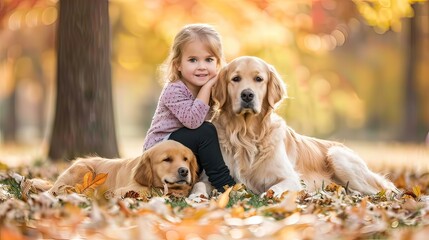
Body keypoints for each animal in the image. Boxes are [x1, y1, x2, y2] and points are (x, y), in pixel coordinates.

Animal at [49, 140, 198, 198]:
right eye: (167, 159)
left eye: (185, 159)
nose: (184, 171)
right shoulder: (124, 189)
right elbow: (147, 190)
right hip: (84, 169)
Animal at [211, 57, 398, 196]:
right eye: (235, 79)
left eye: (259, 79)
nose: (247, 95)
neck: (247, 135)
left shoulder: (292, 179)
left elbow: (273, 189)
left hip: (337, 155)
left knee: (383, 190)